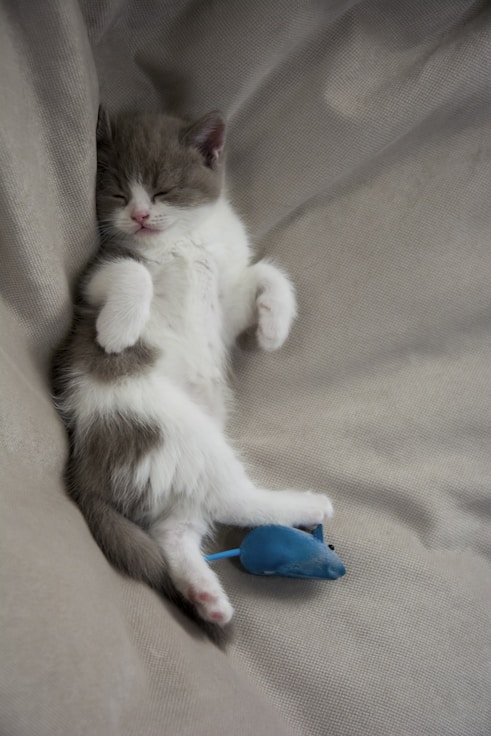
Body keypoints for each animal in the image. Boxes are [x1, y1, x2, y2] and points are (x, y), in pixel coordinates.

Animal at [57, 109, 334, 640]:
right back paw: (305, 507)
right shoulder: (97, 272)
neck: (179, 242)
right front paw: (118, 331)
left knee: (175, 531)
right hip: (171, 429)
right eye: (118, 193)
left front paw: (273, 326)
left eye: (163, 189)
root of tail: (83, 473)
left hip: (173, 466)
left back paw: (206, 595)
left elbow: (265, 272)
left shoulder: (225, 301)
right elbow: (132, 274)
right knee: (233, 498)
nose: (140, 216)